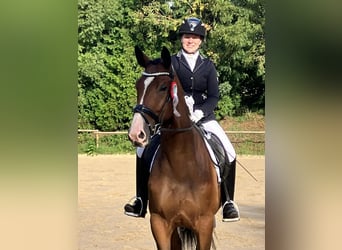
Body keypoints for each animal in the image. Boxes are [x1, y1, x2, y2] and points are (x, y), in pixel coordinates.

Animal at [127, 45, 219, 250]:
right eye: (138, 86)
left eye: (163, 87)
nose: (136, 134)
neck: (181, 165)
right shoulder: (159, 223)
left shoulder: (205, 224)